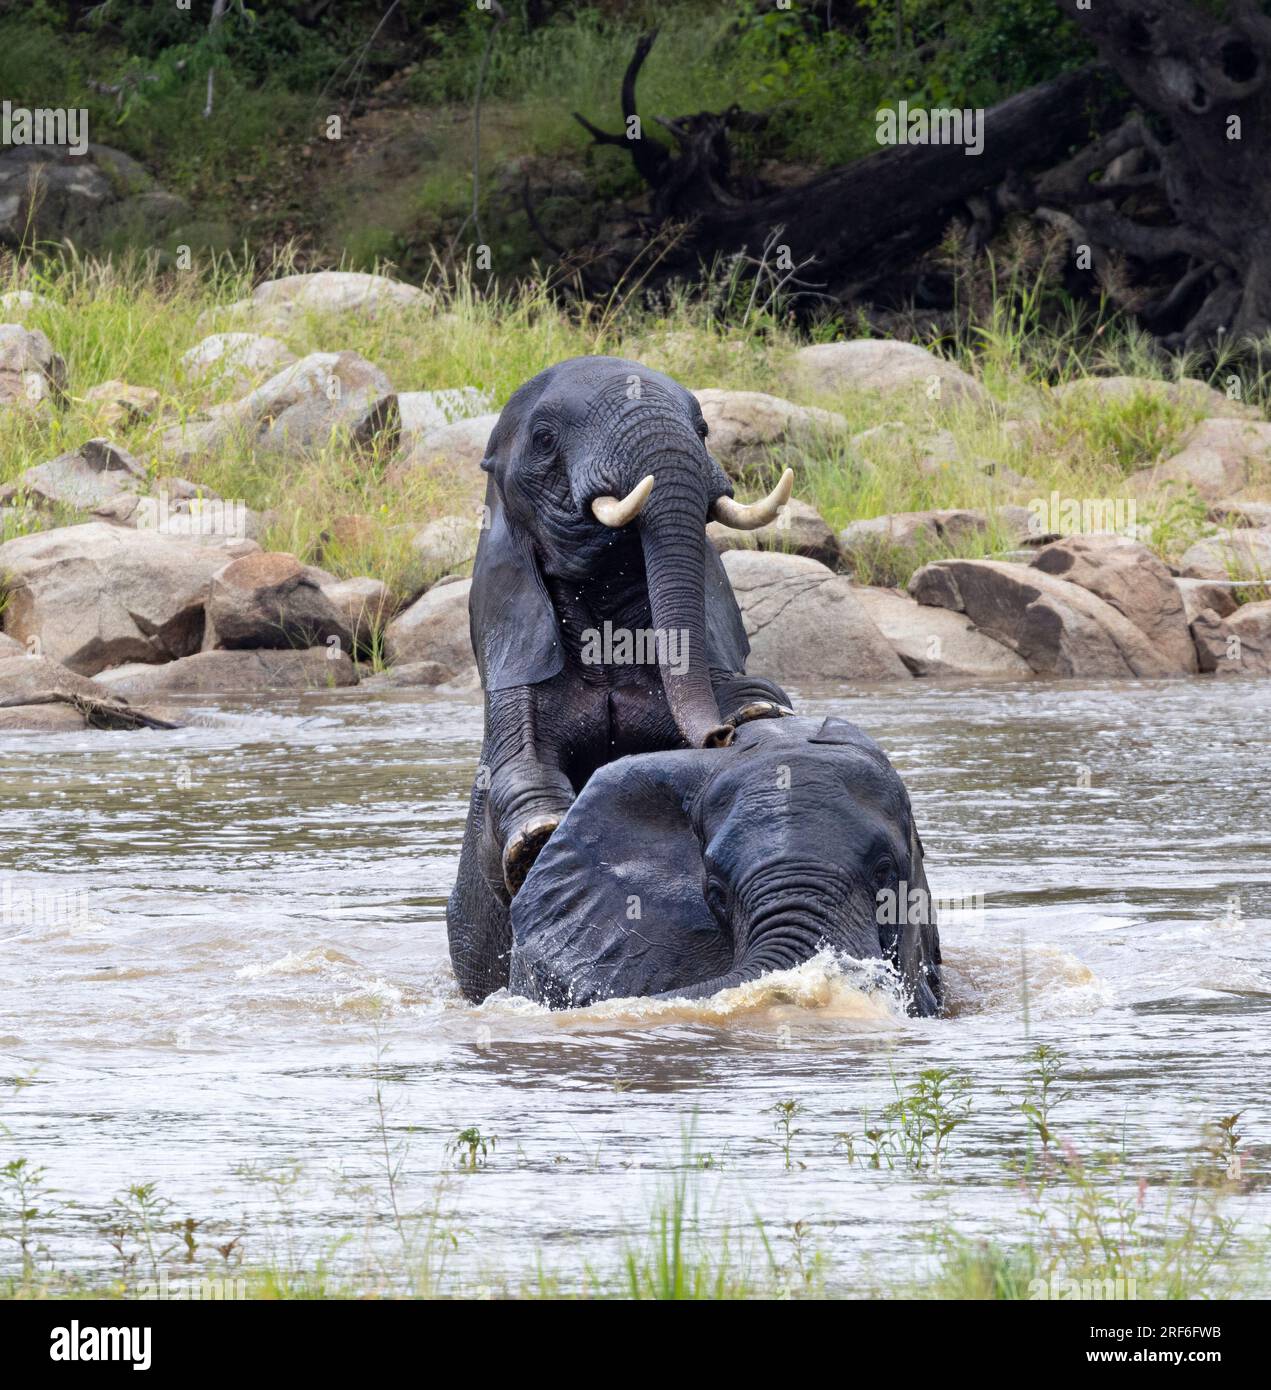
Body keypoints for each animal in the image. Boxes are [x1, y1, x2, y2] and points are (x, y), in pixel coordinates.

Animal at [446, 356, 795, 1002]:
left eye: (703, 428)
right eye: (544, 439)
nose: (718, 737)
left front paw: (758, 711)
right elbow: (514, 769)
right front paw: (542, 835)